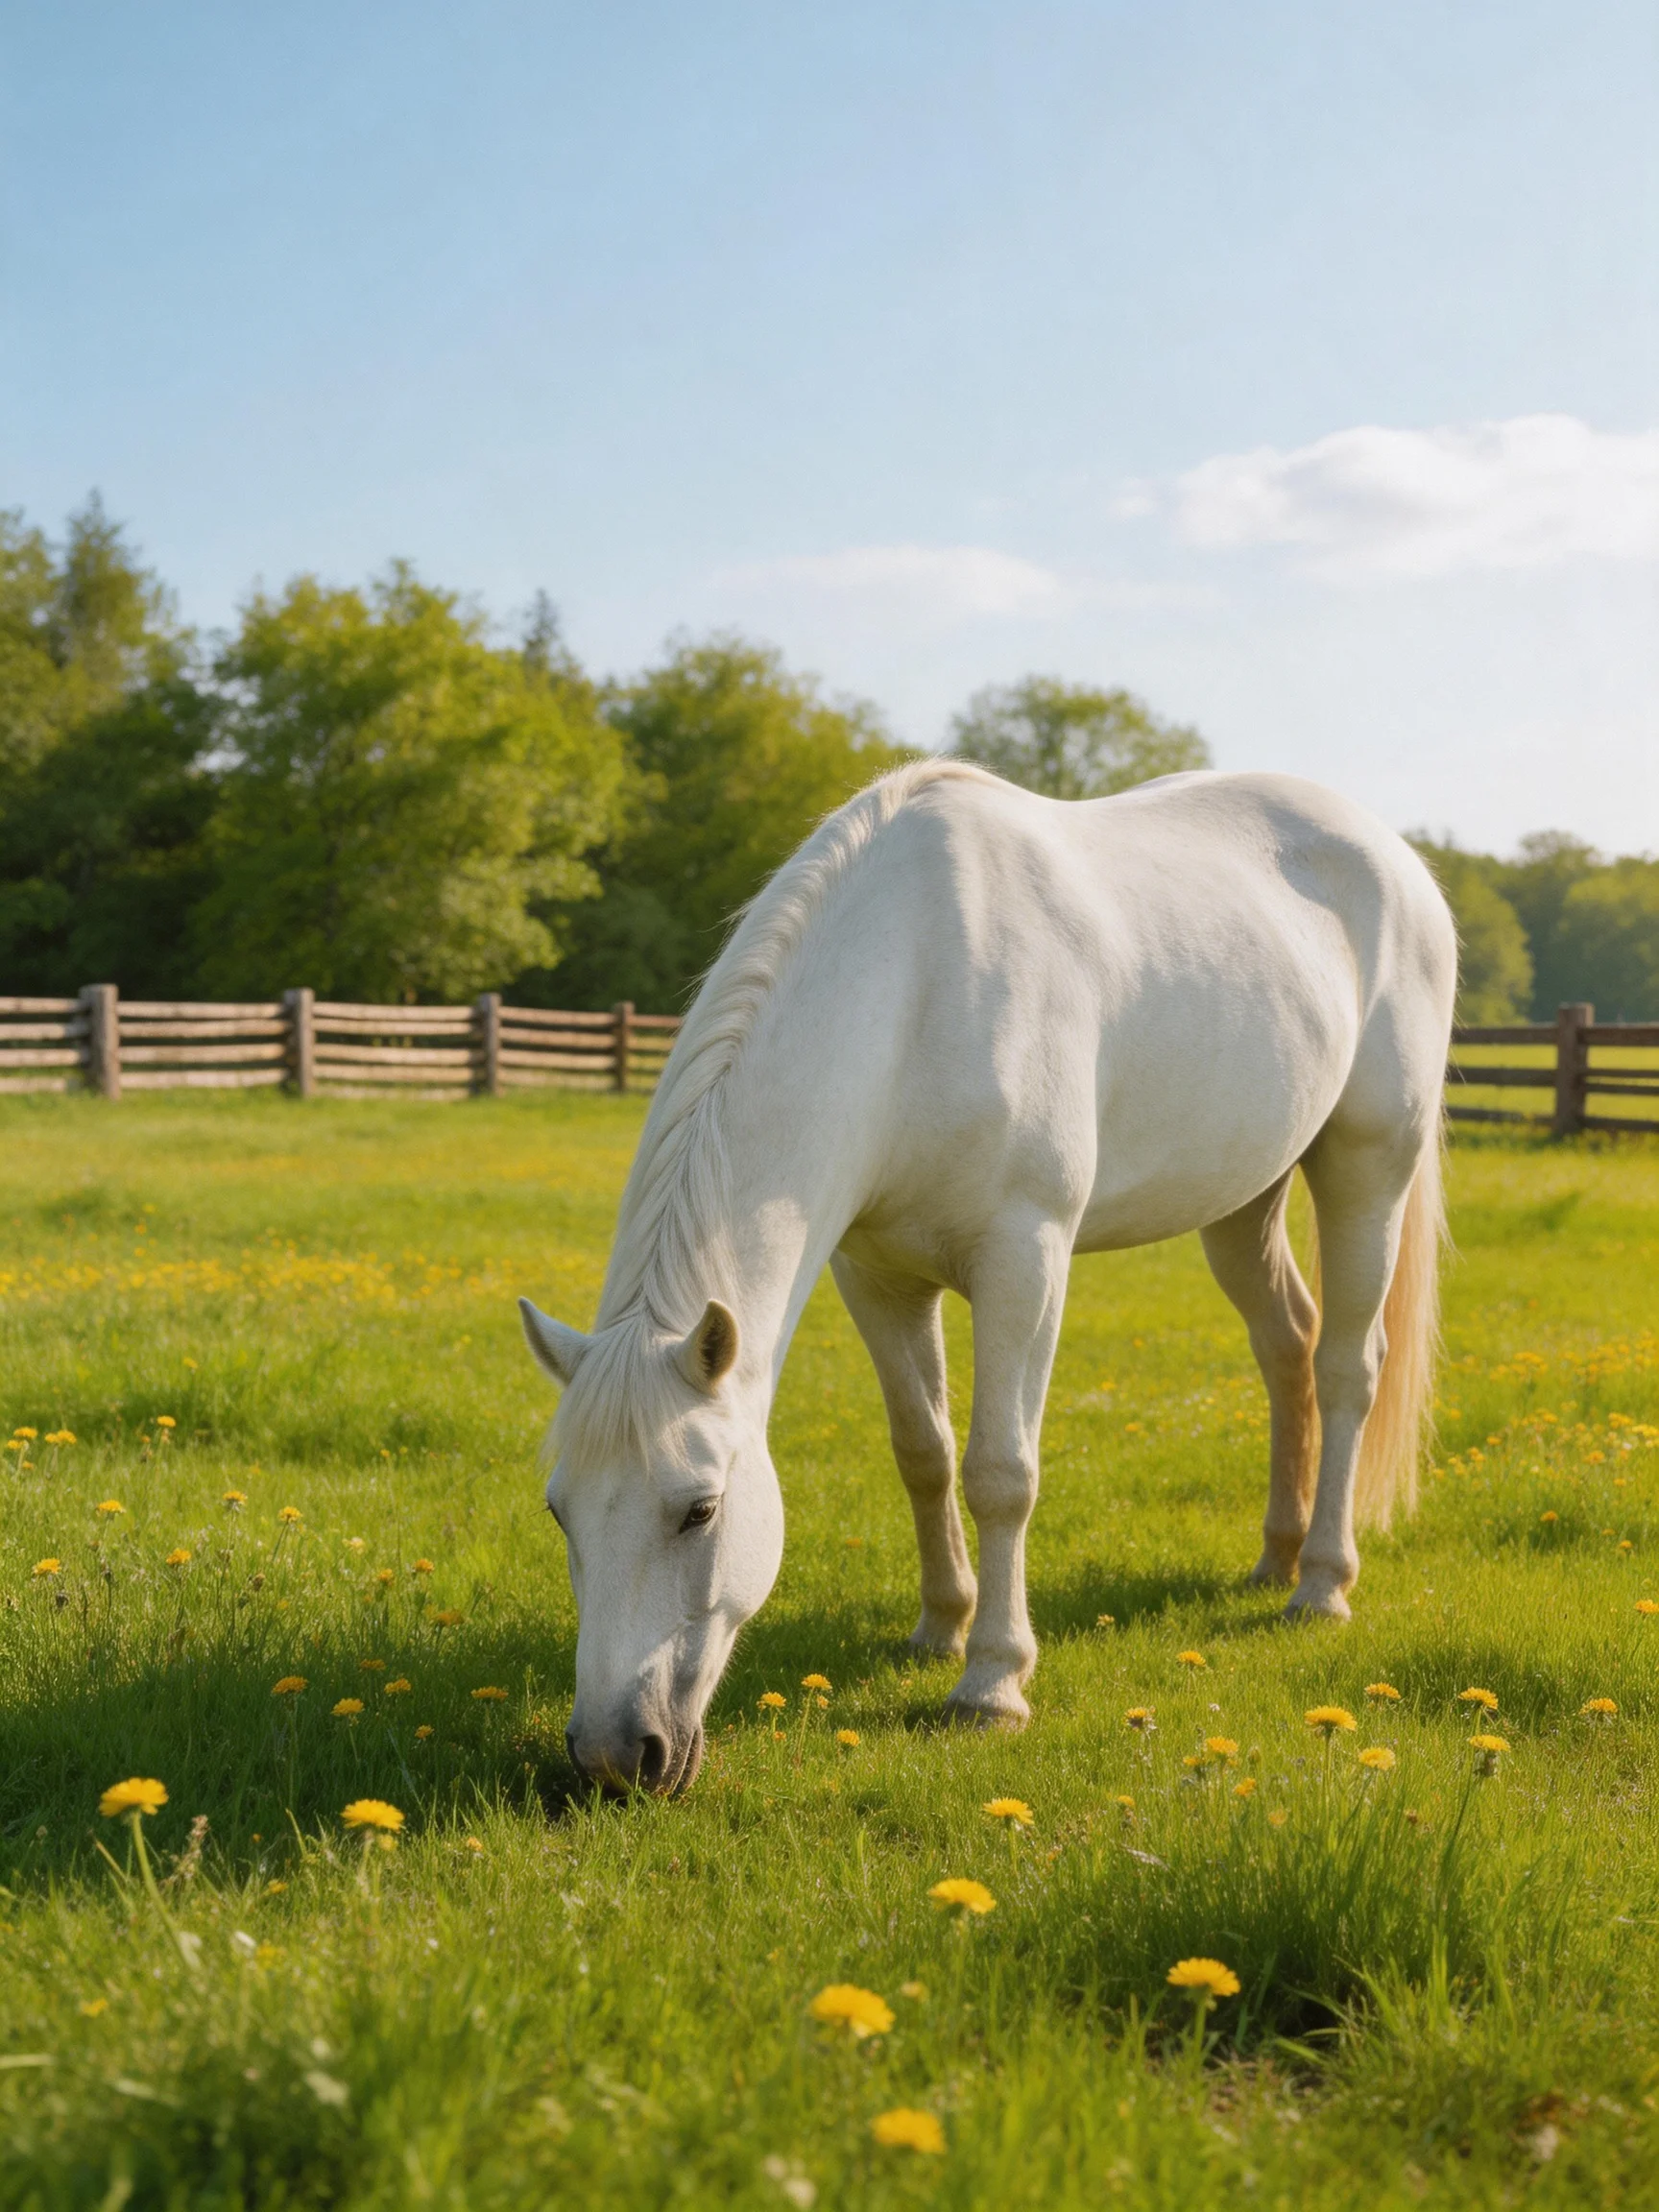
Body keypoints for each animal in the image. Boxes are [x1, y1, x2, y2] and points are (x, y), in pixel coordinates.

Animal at [520, 762, 1454, 1794]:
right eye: (560, 1512)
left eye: (701, 1510)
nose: (613, 1758)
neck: (915, 990)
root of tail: (1396, 858)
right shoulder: (876, 1277)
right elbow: (923, 1453)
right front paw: (939, 1629)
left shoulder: (1024, 1258)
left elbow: (1000, 1471)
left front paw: (992, 1685)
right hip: (1243, 1200)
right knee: (1286, 1345)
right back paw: (1274, 1560)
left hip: (1368, 1166)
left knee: (1346, 1366)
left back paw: (1321, 1584)